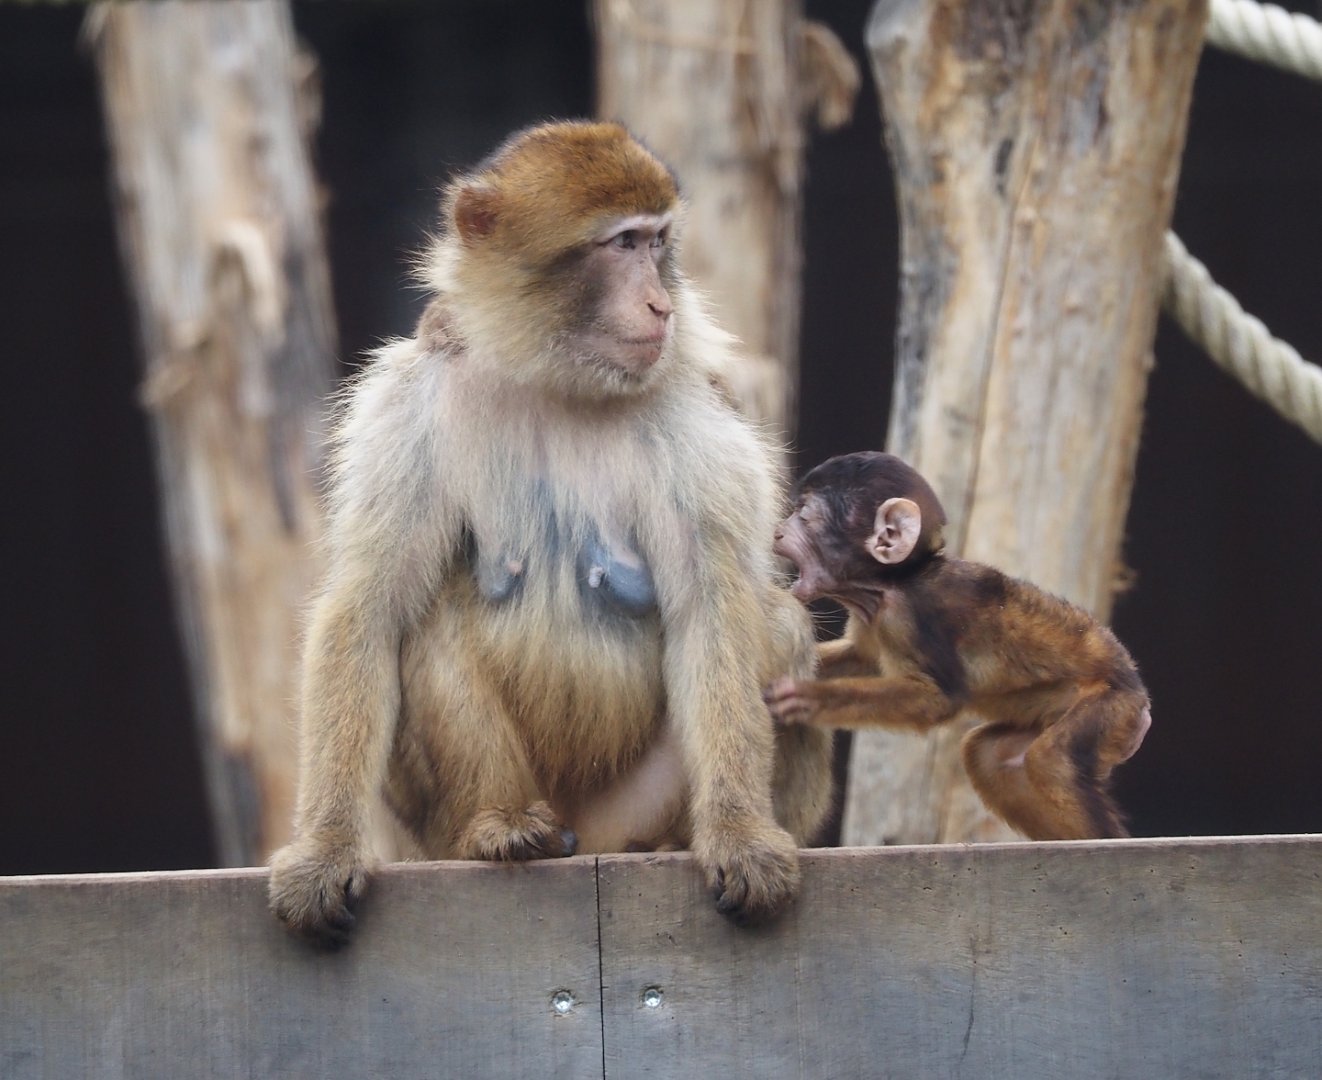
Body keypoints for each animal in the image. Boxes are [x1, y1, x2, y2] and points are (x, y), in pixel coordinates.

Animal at [267, 121, 833, 944]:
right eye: (622, 244)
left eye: (657, 242)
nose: (660, 304)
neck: (557, 379)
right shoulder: (409, 405)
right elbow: (366, 609)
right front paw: (325, 848)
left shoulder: (693, 424)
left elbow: (714, 613)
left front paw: (739, 834)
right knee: (426, 615)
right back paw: (500, 827)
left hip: (624, 811)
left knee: (779, 626)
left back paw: (667, 841)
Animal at [763, 451, 1151, 842]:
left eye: (803, 514)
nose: (778, 531)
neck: (891, 584)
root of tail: (1136, 691)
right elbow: (864, 659)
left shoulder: (914, 614)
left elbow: (939, 700)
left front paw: (806, 698)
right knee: (990, 757)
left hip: (1114, 706)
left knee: (1050, 760)